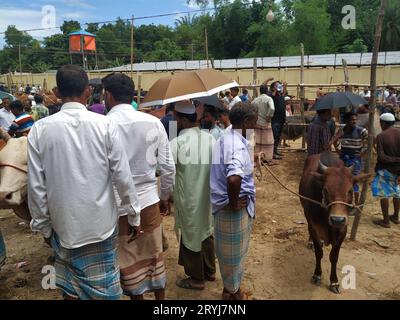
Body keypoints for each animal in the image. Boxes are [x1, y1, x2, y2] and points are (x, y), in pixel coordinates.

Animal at [300, 151, 368, 294]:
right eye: (325, 190)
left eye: (350, 190)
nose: (337, 219)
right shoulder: (314, 227)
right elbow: (319, 253)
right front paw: (317, 275)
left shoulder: (343, 230)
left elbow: (334, 256)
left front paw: (334, 282)